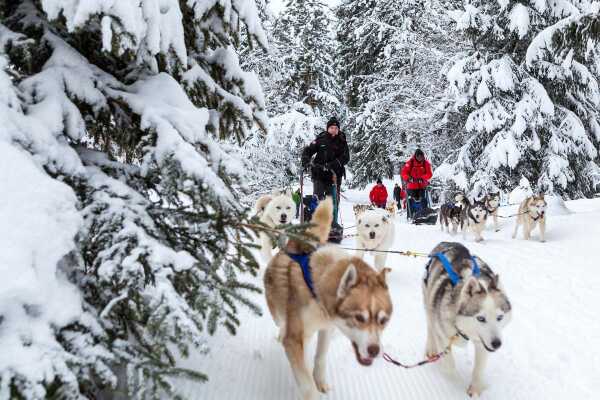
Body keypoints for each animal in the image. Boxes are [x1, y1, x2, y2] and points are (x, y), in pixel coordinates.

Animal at [264, 199, 392, 400]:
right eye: (359, 318)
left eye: (383, 320)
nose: (375, 351)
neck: (314, 287)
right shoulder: (294, 339)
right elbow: (306, 384)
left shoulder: (327, 328)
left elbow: (320, 358)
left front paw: (320, 381)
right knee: (282, 323)